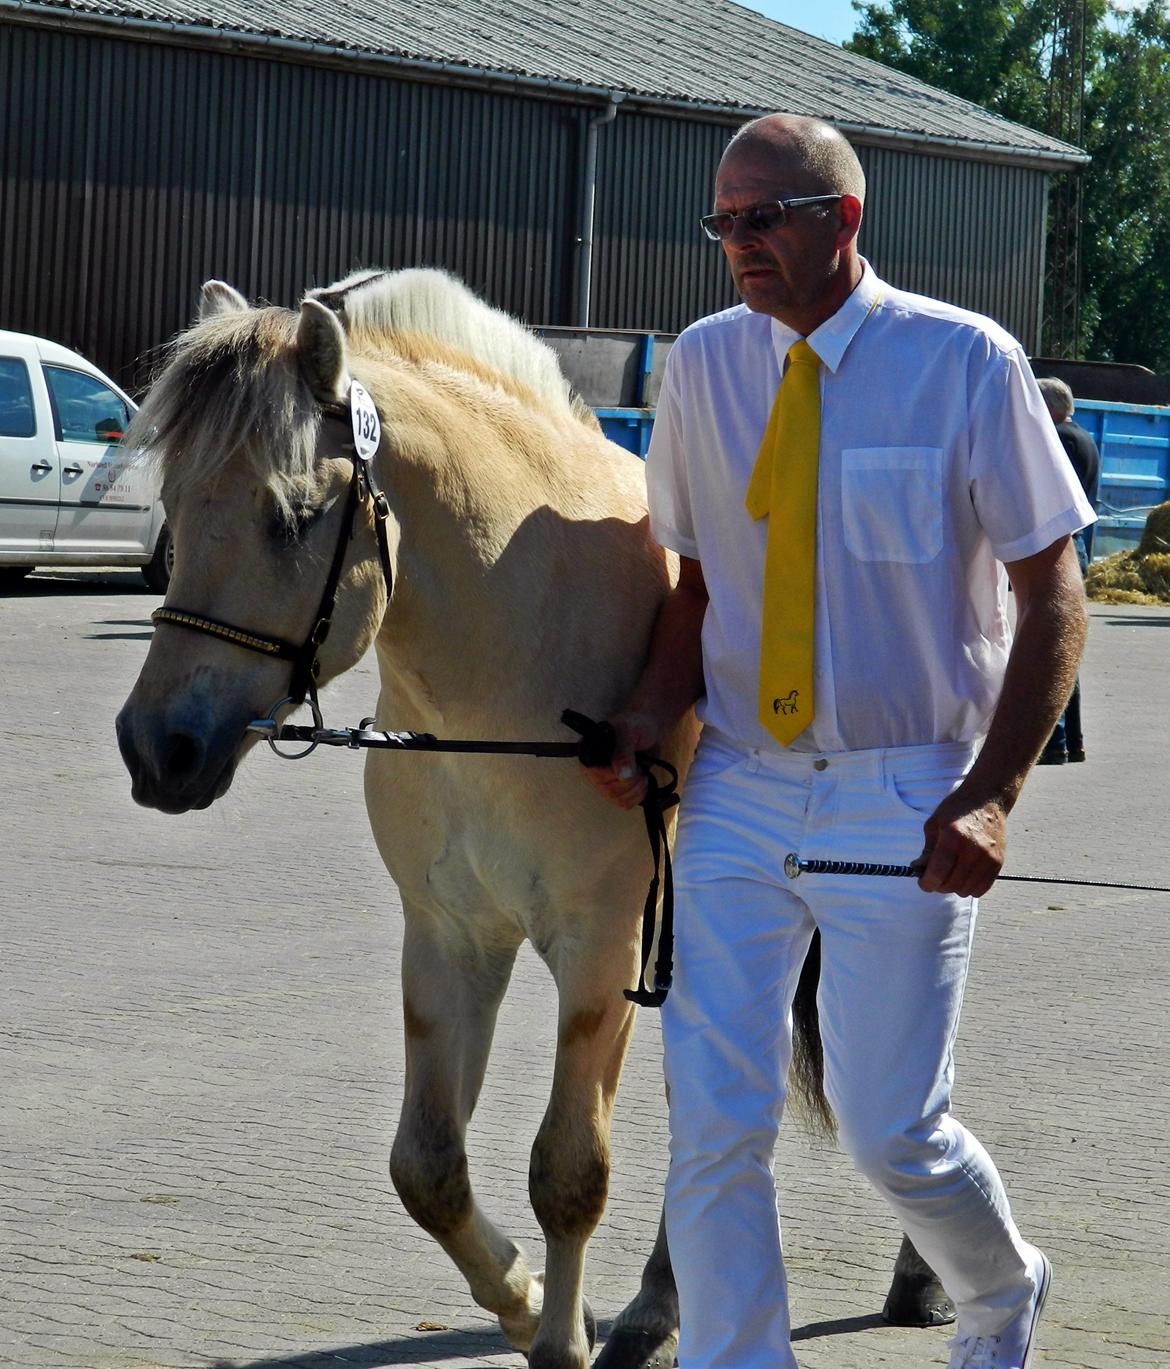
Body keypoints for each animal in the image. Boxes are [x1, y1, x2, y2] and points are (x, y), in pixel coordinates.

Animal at [114, 266, 946, 1369]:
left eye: (291, 516)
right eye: (172, 507)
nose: (155, 746)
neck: (509, 672)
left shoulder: (599, 949)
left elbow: (569, 1170)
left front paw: (558, 1340)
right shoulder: (450, 938)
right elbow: (427, 1166)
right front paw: (522, 1297)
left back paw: (917, 1277)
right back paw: (655, 1310)